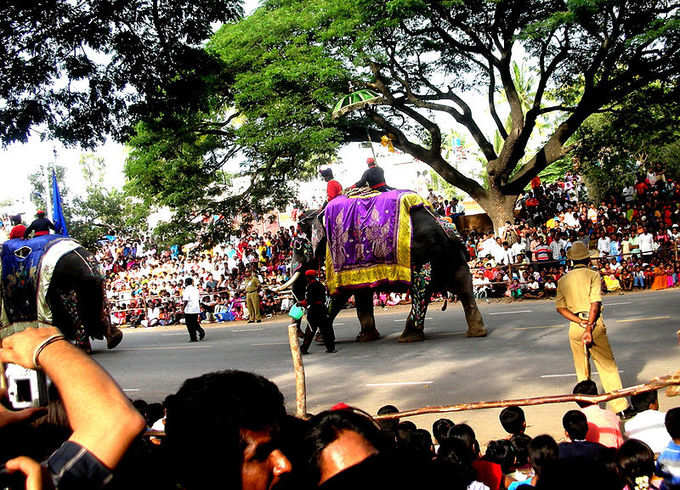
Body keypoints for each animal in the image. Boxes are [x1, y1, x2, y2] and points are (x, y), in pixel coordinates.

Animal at [278, 205, 488, 342]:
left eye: (297, 246)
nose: (299, 333)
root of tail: (445, 225)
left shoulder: (338, 253)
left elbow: (339, 293)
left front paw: (321, 339)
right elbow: (361, 294)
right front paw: (366, 337)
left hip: (423, 256)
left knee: (422, 291)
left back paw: (408, 337)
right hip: (450, 257)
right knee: (463, 284)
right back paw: (477, 333)